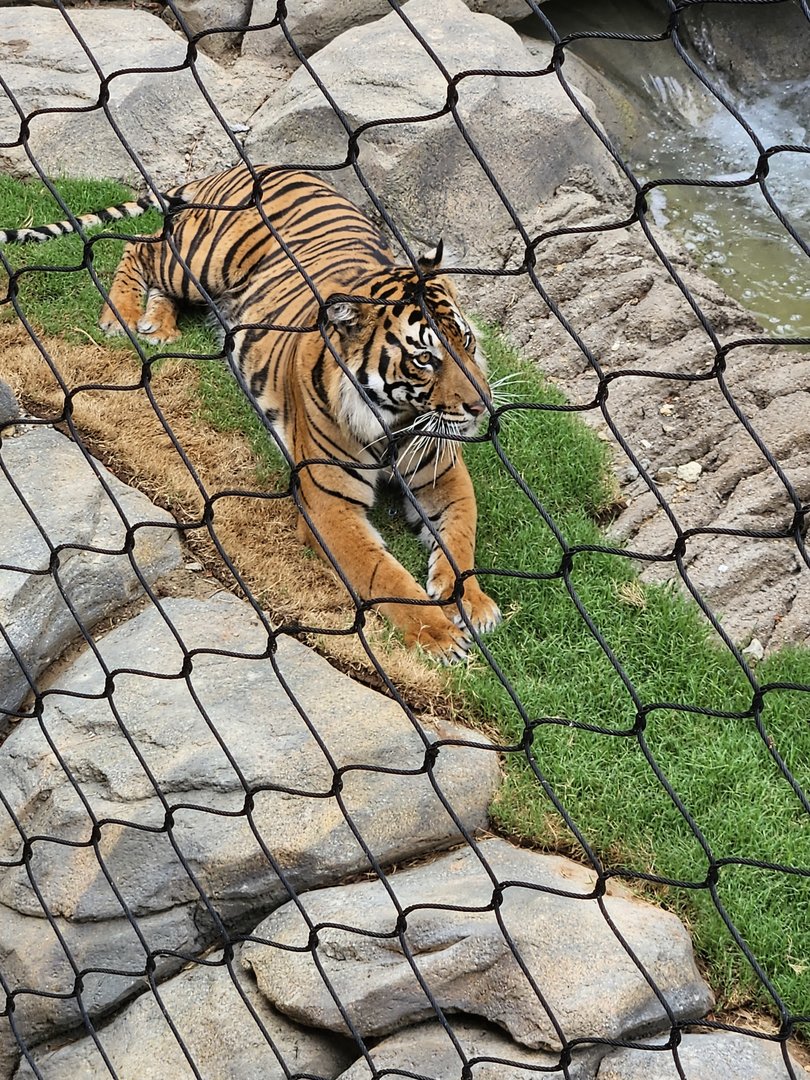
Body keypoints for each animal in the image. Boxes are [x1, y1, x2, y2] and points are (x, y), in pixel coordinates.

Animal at [1, 164, 502, 661]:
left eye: (465, 340)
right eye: (425, 359)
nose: (482, 407)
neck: (394, 420)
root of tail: (249, 166)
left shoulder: (443, 476)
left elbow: (462, 535)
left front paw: (475, 604)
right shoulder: (330, 506)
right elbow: (385, 575)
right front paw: (440, 635)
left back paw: (158, 326)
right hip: (202, 262)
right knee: (140, 245)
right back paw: (120, 314)